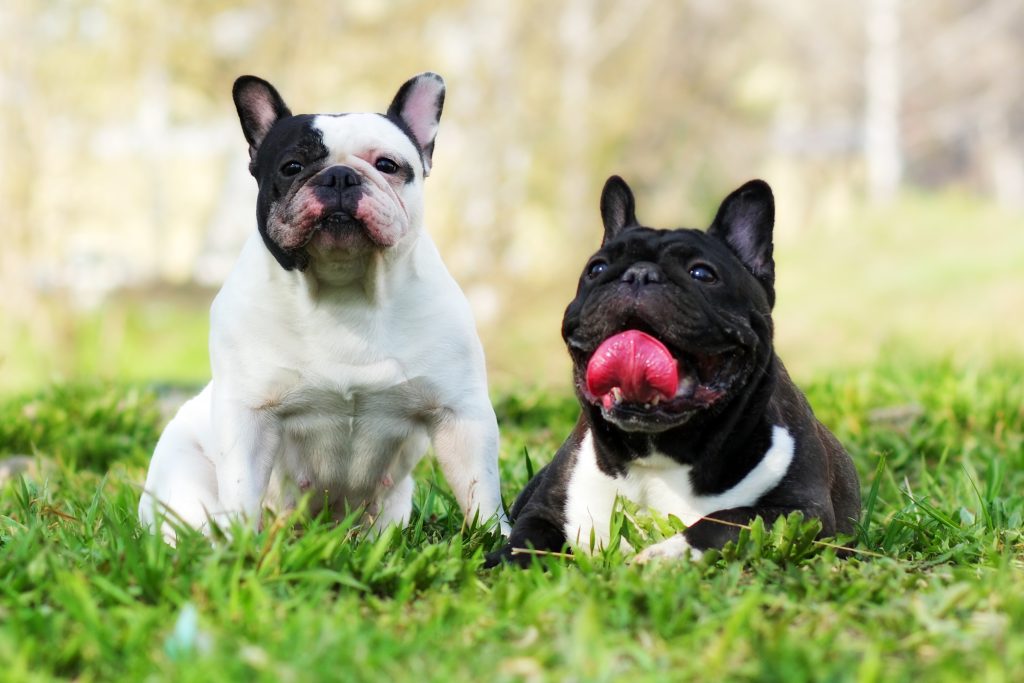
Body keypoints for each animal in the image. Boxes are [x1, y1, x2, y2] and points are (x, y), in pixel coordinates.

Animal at [141, 73, 512, 544]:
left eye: (387, 165)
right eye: (292, 167)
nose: (339, 176)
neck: (346, 287)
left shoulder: (461, 413)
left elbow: (480, 492)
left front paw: (499, 542)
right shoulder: (249, 416)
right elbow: (242, 490)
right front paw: (244, 548)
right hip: (182, 480)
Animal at [487, 176, 864, 565]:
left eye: (702, 273)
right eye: (596, 269)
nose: (639, 274)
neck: (659, 453)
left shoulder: (799, 514)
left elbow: (726, 521)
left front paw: (665, 553)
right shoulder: (544, 510)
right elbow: (525, 540)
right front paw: (501, 564)